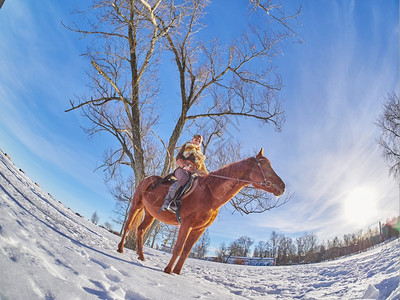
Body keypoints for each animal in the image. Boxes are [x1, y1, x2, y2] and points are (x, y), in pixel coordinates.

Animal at [117, 148, 286, 274]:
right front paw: (168, 270)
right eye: (266, 166)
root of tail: (147, 179)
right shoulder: (186, 224)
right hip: (136, 205)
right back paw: (120, 249)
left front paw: (177, 272)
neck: (209, 193)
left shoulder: (199, 229)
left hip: (150, 214)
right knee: (128, 226)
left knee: (140, 230)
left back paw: (141, 256)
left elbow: (186, 251)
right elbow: (178, 248)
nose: (282, 186)